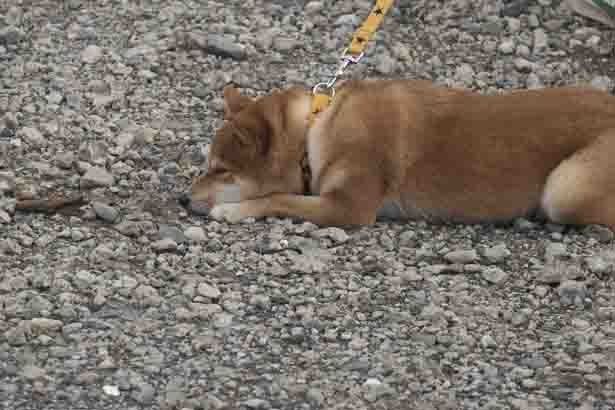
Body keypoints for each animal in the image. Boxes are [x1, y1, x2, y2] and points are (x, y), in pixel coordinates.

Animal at [179, 78, 615, 229]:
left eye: (221, 170)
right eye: (207, 166)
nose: (181, 199)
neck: (314, 131)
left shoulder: (348, 207)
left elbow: (279, 198)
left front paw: (233, 210)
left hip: (564, 190)